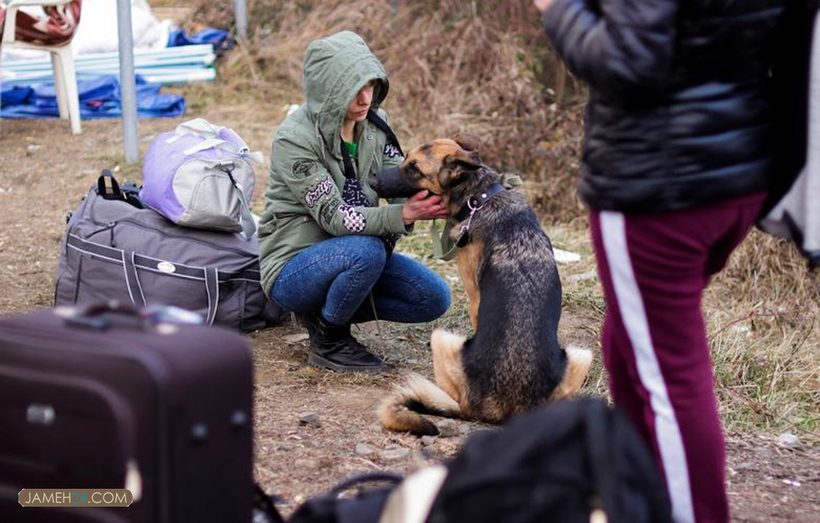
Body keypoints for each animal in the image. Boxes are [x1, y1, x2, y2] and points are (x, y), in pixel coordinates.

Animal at [368, 137, 592, 436]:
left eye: (414, 168)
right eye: (405, 159)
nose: (372, 181)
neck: (481, 197)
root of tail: (503, 410)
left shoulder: (475, 298)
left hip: (441, 337)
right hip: (582, 356)